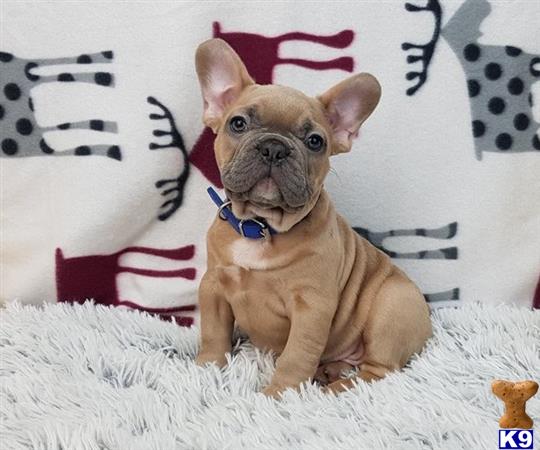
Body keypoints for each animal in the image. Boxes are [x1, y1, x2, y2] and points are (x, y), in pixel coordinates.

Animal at [194, 39, 430, 398]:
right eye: (238, 124)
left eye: (315, 141)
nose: (274, 147)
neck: (261, 226)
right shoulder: (214, 287)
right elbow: (213, 332)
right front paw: (205, 368)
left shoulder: (311, 308)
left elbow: (297, 354)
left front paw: (280, 394)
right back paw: (329, 371)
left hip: (392, 308)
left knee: (379, 372)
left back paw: (338, 388)